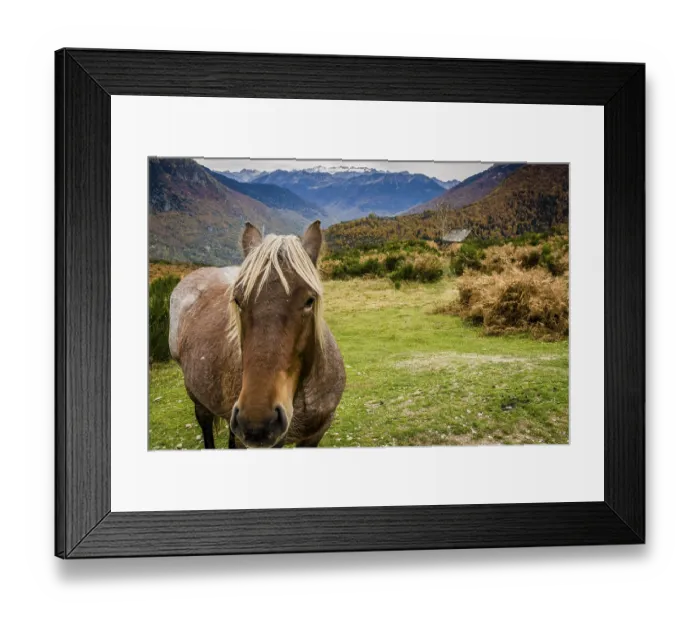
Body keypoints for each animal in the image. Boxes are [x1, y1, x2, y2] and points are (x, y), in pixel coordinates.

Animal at [168, 221, 346, 449]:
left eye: (309, 300)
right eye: (237, 300)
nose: (256, 421)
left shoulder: (316, 435)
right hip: (197, 396)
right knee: (205, 422)